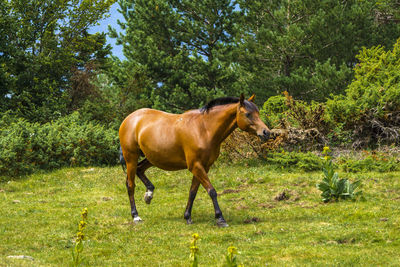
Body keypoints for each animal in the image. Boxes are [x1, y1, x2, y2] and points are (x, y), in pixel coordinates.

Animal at [117, 94, 270, 228]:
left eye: (257, 113)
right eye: (248, 114)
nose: (266, 132)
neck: (204, 129)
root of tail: (129, 119)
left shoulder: (204, 167)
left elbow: (193, 192)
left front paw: (187, 217)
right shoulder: (196, 166)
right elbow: (211, 191)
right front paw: (220, 219)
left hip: (152, 158)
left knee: (140, 169)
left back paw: (149, 194)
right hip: (131, 158)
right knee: (130, 185)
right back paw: (136, 216)